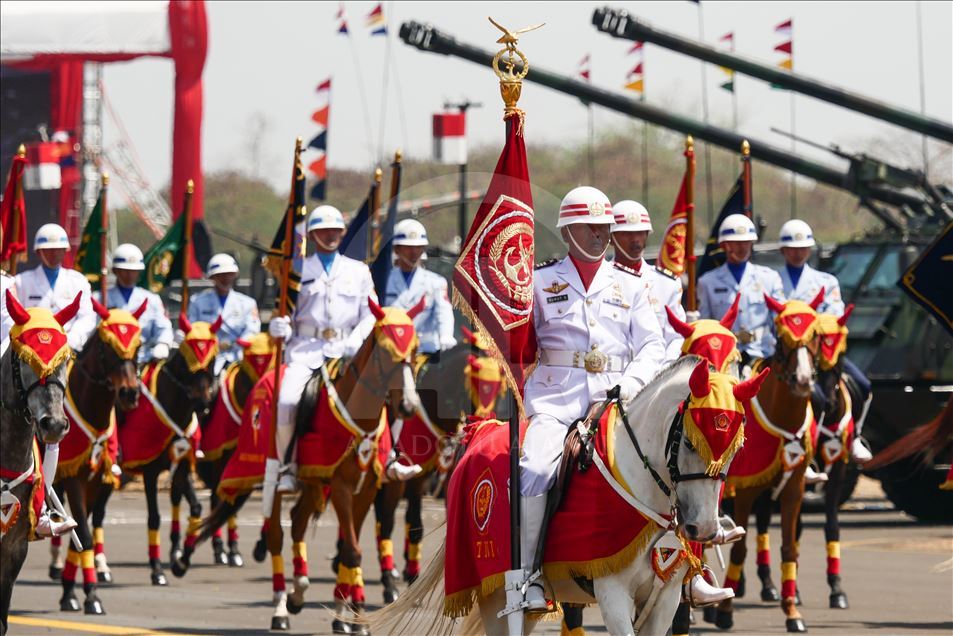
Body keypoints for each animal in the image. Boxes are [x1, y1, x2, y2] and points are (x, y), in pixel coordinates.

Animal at [52, 300, 143, 616]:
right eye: (107, 346)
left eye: (138, 345)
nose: (129, 393)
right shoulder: (73, 478)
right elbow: (85, 532)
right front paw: (90, 594)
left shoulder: (96, 481)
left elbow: (82, 533)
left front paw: (72, 591)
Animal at [118, 314, 220, 588]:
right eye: (187, 361)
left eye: (213, 360)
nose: (203, 403)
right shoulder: (151, 471)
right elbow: (154, 517)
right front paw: (157, 570)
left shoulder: (181, 466)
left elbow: (192, 507)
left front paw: (179, 558)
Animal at [364, 358, 768, 636]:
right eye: (690, 443)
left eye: (737, 447)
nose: (703, 529)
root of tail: (482, 431)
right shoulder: (612, 593)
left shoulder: (665, 598)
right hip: (494, 592)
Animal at [712, 294, 820, 632]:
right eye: (783, 337)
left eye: (816, 335)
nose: (802, 380)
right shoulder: (745, 491)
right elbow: (739, 547)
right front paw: (725, 611)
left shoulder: (793, 490)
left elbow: (789, 547)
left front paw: (792, 612)